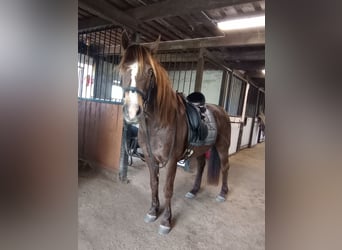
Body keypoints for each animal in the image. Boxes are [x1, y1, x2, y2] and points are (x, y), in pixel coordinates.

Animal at [119, 31, 231, 234]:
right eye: (123, 68)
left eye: (150, 71)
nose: (132, 112)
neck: (159, 123)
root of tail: (221, 110)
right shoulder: (150, 158)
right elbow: (153, 184)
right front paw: (153, 211)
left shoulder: (171, 160)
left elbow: (167, 189)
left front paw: (166, 221)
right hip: (202, 149)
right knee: (201, 166)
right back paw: (193, 191)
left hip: (222, 147)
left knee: (225, 167)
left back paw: (222, 194)